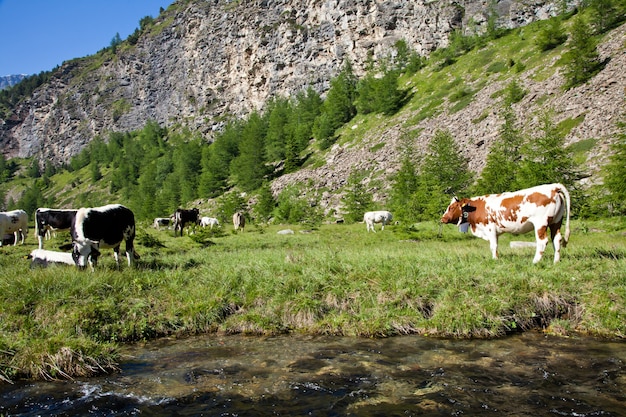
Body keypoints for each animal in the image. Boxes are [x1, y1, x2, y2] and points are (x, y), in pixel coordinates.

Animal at [438, 183, 572, 264]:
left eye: (451, 207)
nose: (442, 218)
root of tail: (553, 186)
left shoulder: (490, 229)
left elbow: (493, 245)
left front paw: (494, 260)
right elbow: (495, 246)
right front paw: (496, 258)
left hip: (540, 223)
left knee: (542, 241)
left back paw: (535, 261)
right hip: (556, 222)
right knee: (557, 240)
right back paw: (556, 261)